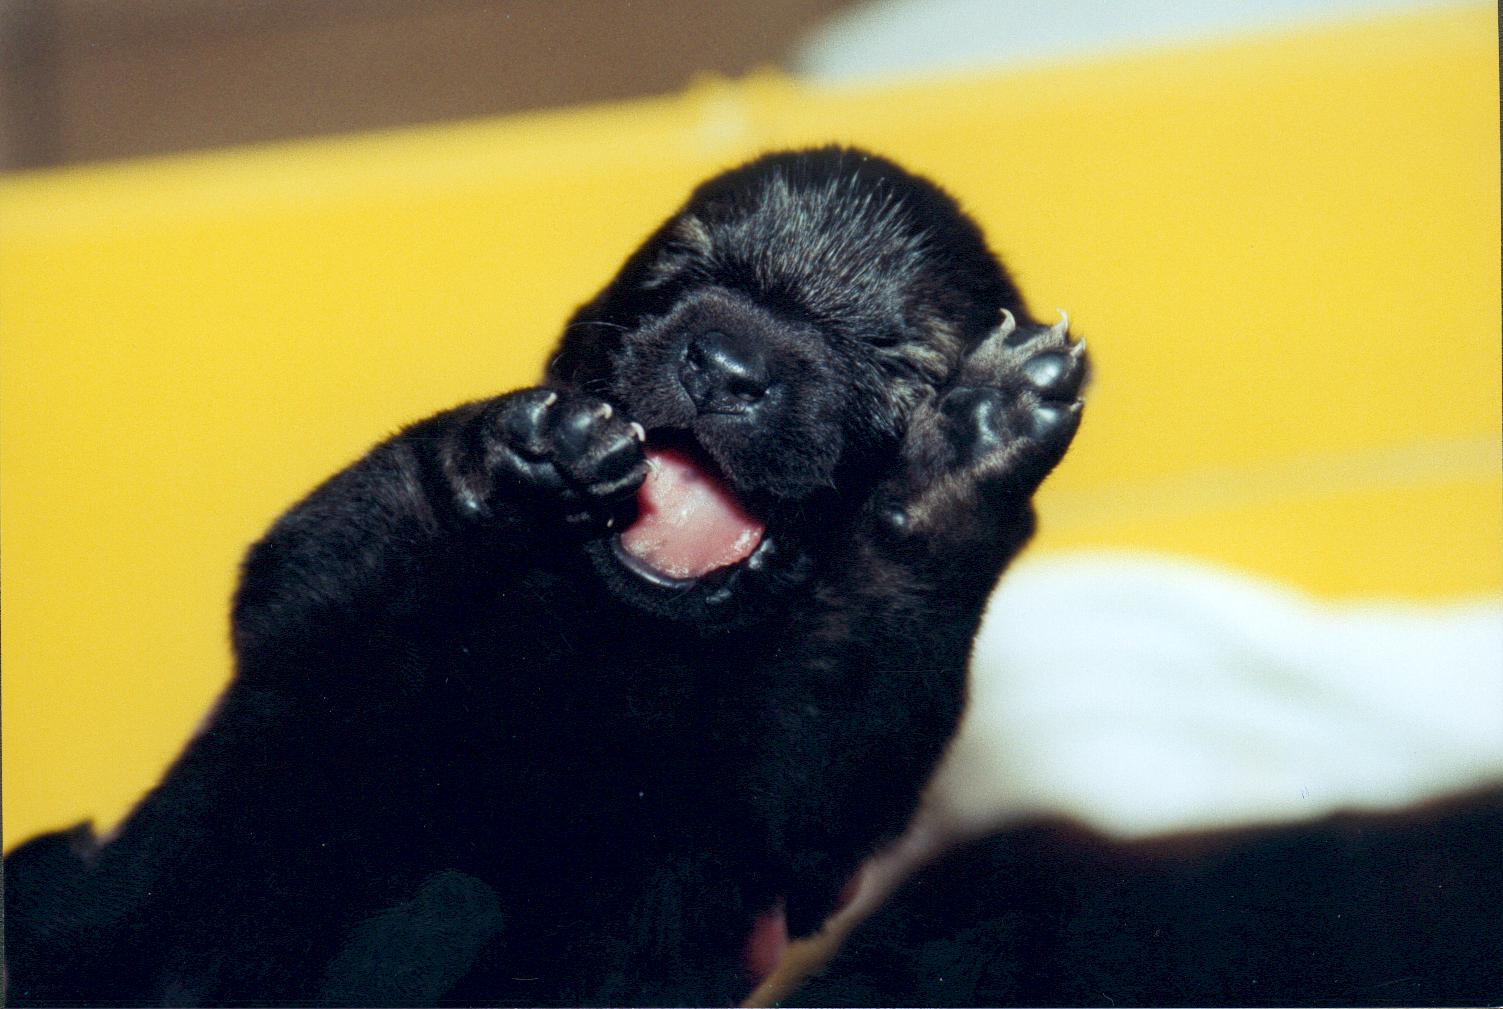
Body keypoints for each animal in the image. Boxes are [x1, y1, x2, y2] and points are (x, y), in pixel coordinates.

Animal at [4, 146, 1086, 1006]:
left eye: (893, 358)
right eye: (680, 269)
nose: (726, 365)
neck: (630, 629)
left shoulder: (796, 821)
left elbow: (832, 742)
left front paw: (962, 460)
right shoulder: (308, 668)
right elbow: (308, 575)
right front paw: (509, 460)